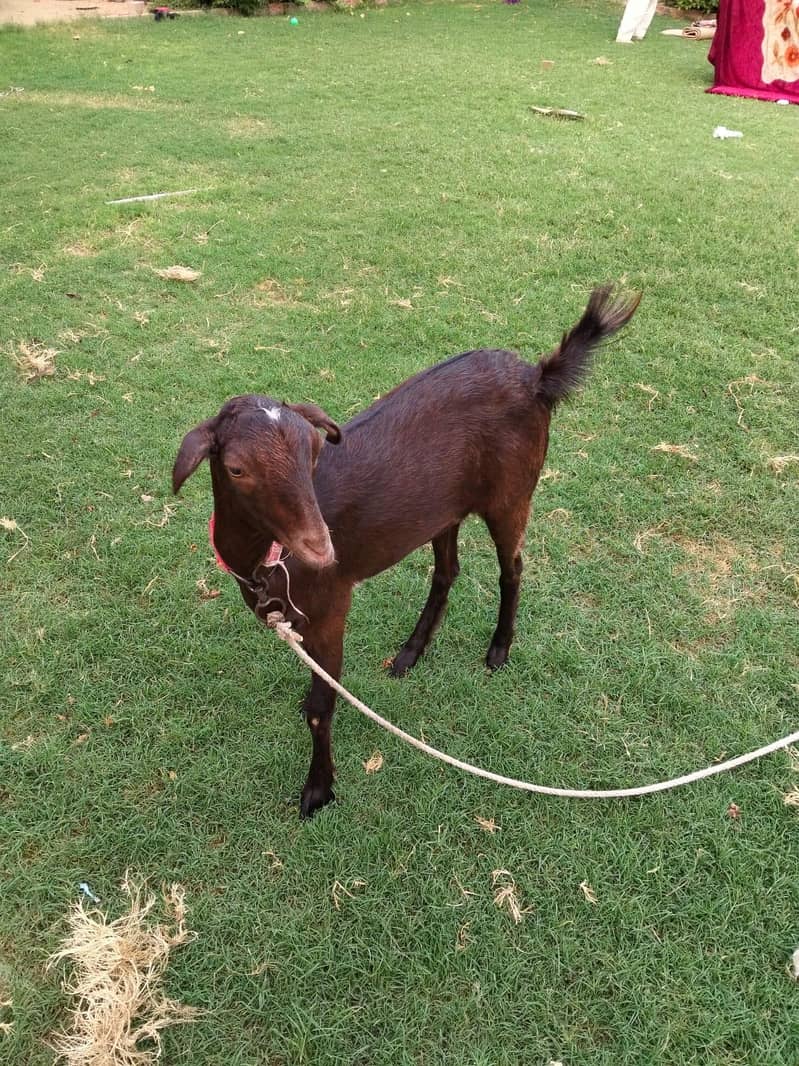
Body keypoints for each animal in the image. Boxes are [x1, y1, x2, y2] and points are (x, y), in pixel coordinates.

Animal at [173, 286, 640, 817]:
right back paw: (410, 653)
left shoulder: (331, 606)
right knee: (448, 570)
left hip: (512, 494)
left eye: (314, 450)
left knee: (512, 567)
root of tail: (537, 376)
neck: (265, 563)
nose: (321, 549)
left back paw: (498, 649)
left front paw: (319, 790)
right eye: (235, 468)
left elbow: (321, 710)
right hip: (443, 511)